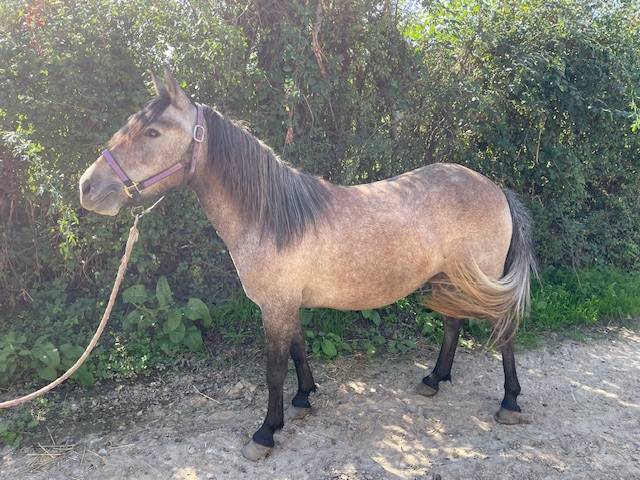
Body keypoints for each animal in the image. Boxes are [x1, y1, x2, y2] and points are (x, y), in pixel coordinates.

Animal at [79, 70, 537, 461]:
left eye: (153, 131)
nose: (88, 187)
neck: (271, 218)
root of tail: (496, 188)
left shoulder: (275, 306)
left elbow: (274, 370)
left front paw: (265, 433)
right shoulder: (286, 305)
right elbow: (299, 349)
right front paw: (303, 400)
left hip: (484, 281)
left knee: (503, 332)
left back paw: (509, 402)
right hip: (451, 279)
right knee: (453, 324)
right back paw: (434, 380)